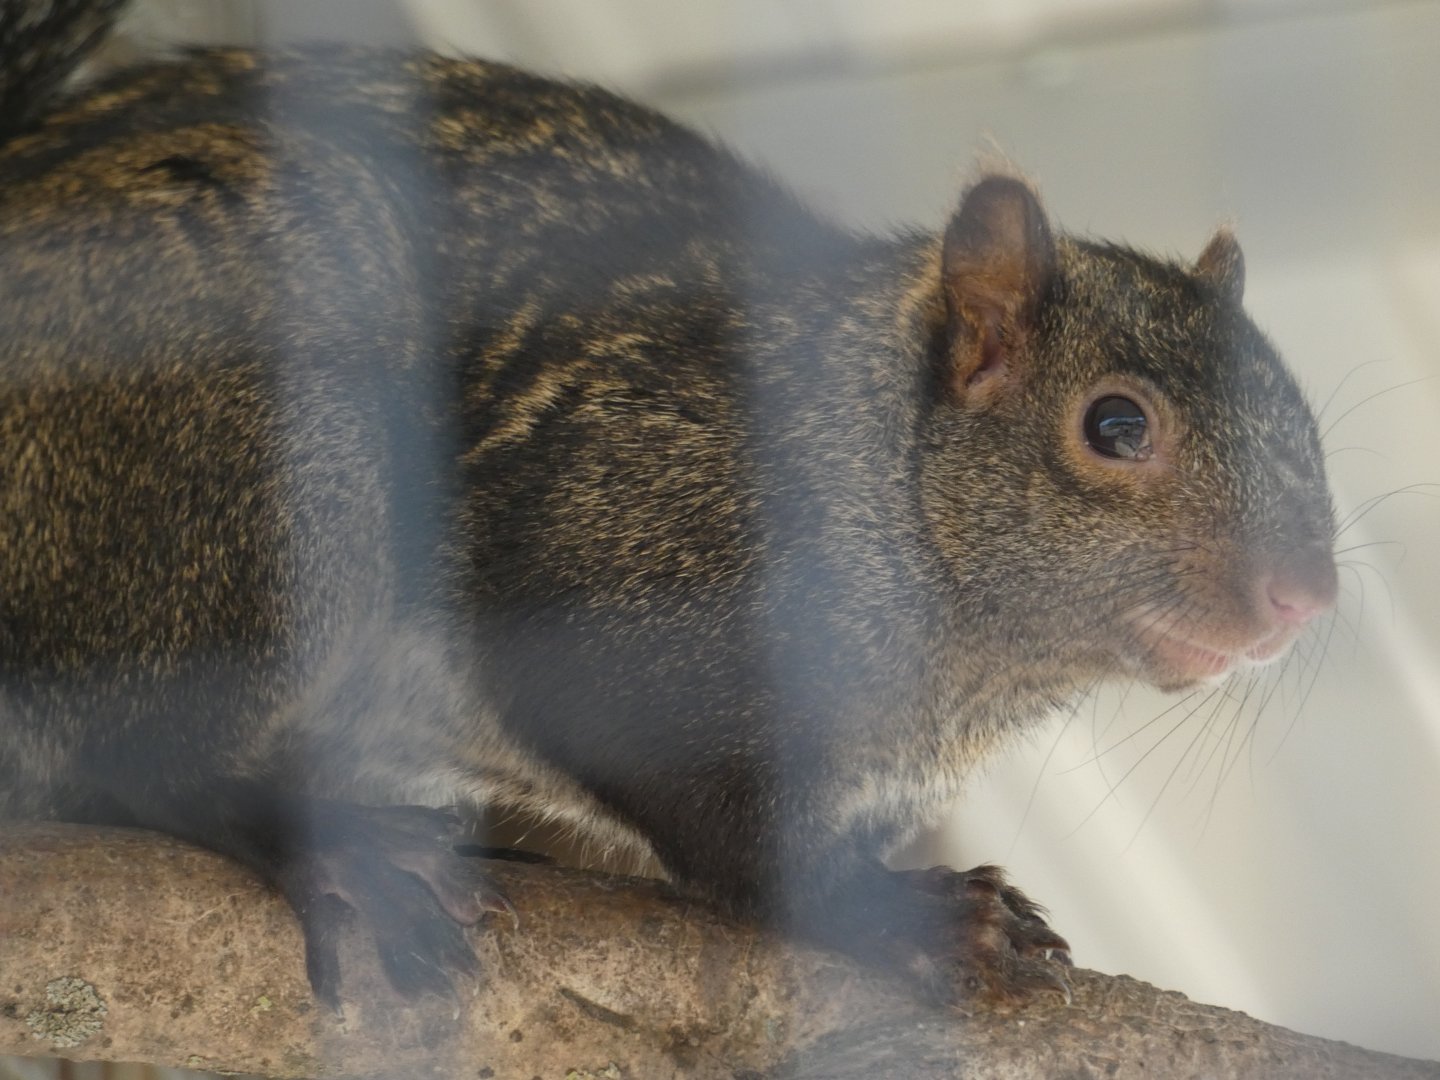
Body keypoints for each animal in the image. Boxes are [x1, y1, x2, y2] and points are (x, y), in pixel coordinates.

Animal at [0, 3, 1338, 1012]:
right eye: (1116, 426)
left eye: (1309, 428)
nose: (1306, 599)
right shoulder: (618, 524)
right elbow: (698, 799)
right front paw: (907, 912)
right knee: (136, 758)